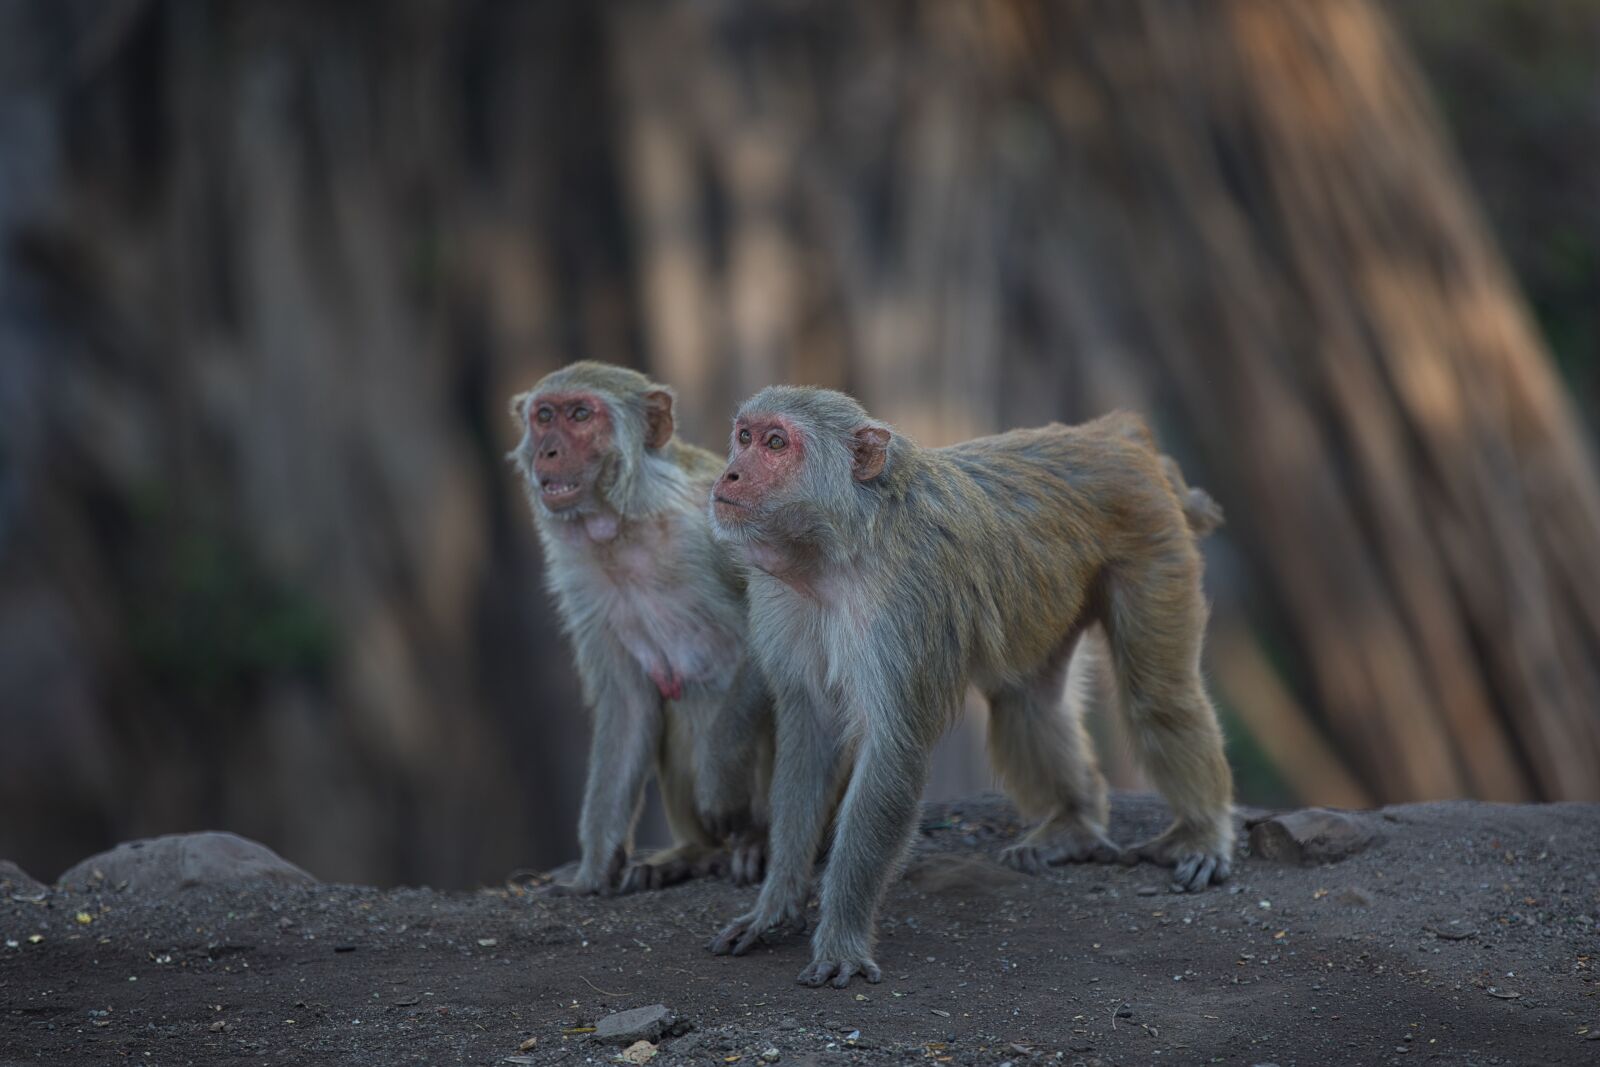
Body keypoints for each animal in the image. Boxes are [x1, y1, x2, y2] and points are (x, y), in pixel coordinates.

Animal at [505, 363, 768, 895]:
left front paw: (720, 787)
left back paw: (759, 841)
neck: (622, 528)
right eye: (544, 417)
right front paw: (591, 872)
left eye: (580, 415)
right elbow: (627, 705)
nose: (548, 451)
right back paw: (694, 854)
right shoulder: (576, 573)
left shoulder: (714, 530)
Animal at [707, 388, 1228, 991]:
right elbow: (810, 734)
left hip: (1153, 538)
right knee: (1028, 701)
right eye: (744, 436)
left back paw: (1202, 833)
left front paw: (841, 938)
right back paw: (1074, 824)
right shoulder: (782, 601)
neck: (837, 547)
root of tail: (1107, 434)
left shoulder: (903, 603)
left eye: (775, 443)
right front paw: (773, 909)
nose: (731, 472)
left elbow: (895, 749)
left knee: (1159, 698)